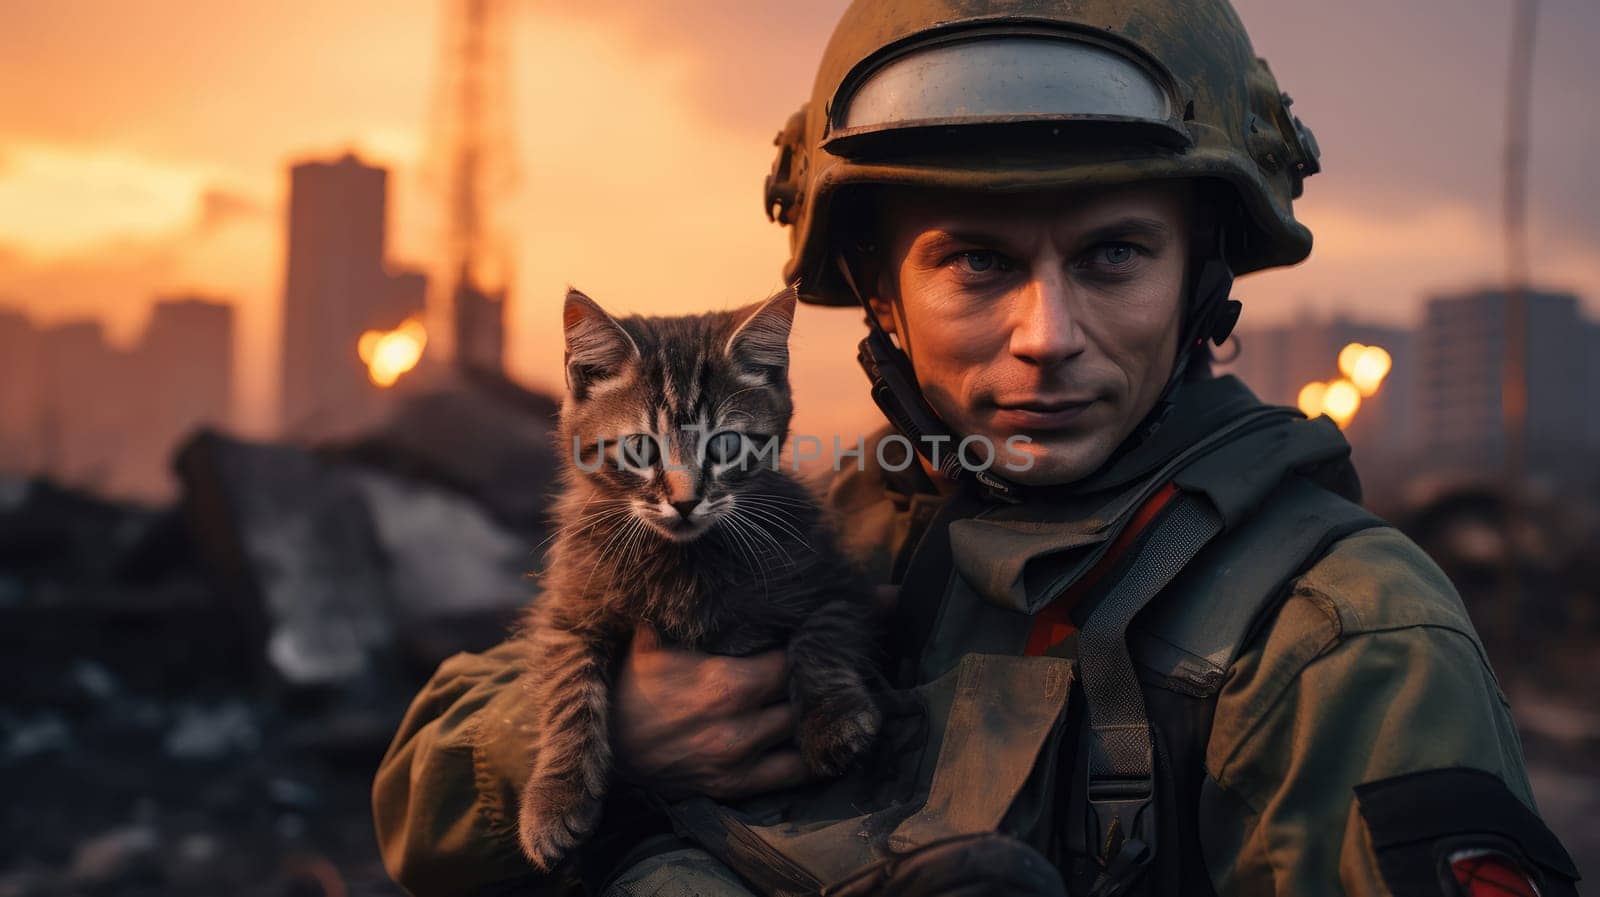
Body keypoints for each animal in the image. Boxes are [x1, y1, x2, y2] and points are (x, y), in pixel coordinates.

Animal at [518, 284, 883, 869]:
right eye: (640, 448)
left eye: (725, 445)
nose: (686, 500)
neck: (682, 559)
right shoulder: (567, 607)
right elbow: (567, 690)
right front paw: (554, 801)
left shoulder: (832, 575)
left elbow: (821, 638)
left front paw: (835, 720)